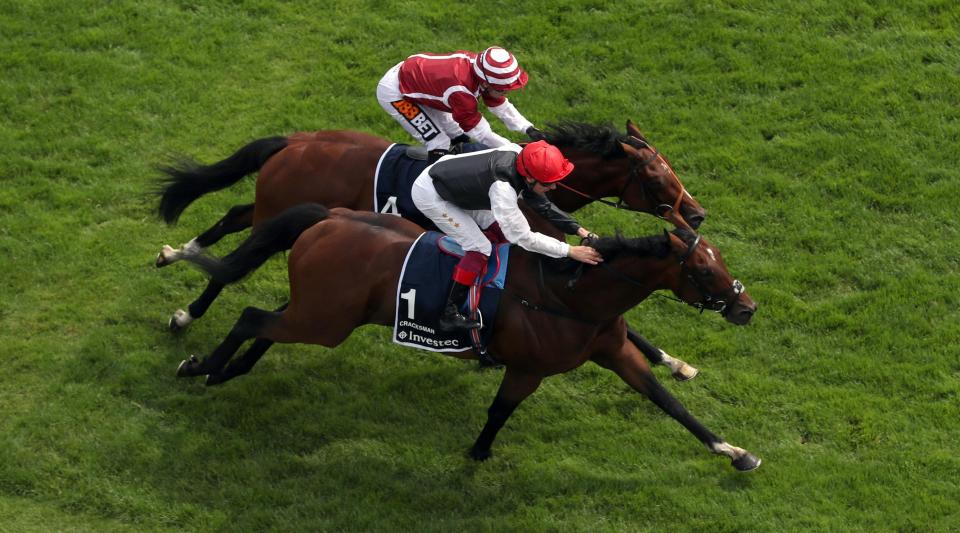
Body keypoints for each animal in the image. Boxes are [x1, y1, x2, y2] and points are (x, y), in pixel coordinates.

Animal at [156, 120, 704, 378]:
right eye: (656, 178)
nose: (695, 215)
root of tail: (294, 142)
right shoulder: (507, 249)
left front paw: (675, 361)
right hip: (281, 205)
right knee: (237, 251)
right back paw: (187, 308)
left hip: (276, 204)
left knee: (233, 222)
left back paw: (179, 270)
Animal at [172, 204, 756, 470]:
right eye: (704, 270)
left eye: (720, 261)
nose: (746, 307)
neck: (570, 295)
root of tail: (329, 215)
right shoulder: (529, 367)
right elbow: (500, 409)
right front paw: (477, 453)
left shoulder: (613, 351)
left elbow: (668, 401)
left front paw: (734, 451)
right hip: (324, 321)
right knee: (252, 316)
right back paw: (205, 367)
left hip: (324, 313)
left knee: (268, 319)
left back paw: (230, 369)